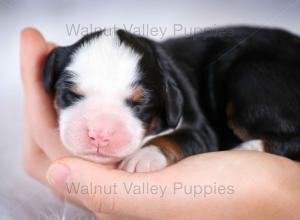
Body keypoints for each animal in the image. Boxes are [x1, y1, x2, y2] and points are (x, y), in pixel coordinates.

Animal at [42, 26, 300, 172]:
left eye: (140, 103)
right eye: (72, 94)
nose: (100, 134)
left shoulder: (199, 128)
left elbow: (178, 138)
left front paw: (144, 156)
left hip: (251, 84)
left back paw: (246, 149)